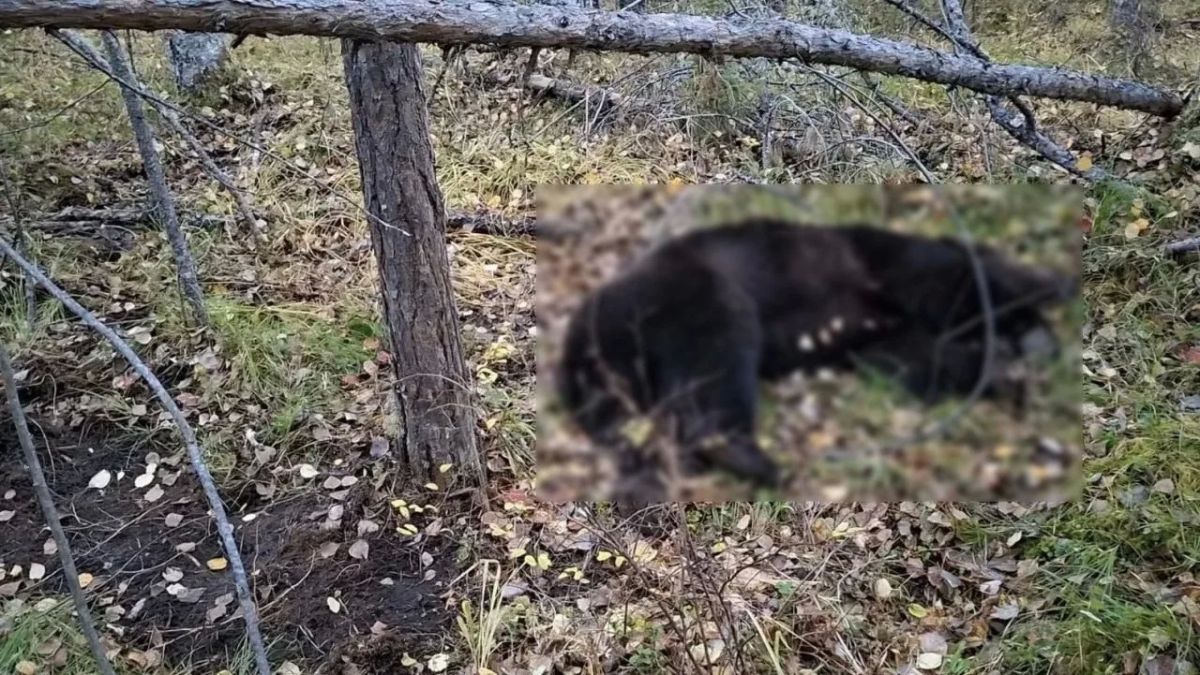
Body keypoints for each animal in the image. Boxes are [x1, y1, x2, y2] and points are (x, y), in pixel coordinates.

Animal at [554, 219, 1074, 508]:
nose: (1041, 344)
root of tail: (583, 339)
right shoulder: (899, 270)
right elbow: (960, 288)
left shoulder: (884, 334)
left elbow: (923, 363)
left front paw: (1006, 376)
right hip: (697, 293)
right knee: (717, 361)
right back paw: (754, 460)